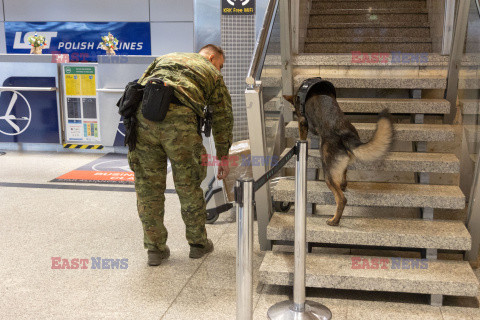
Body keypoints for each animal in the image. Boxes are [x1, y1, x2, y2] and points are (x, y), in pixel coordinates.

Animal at [284, 82, 394, 228]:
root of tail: (345, 134)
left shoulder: (302, 121)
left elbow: (303, 135)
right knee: (344, 175)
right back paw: (343, 185)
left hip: (328, 174)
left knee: (342, 199)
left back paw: (334, 220)